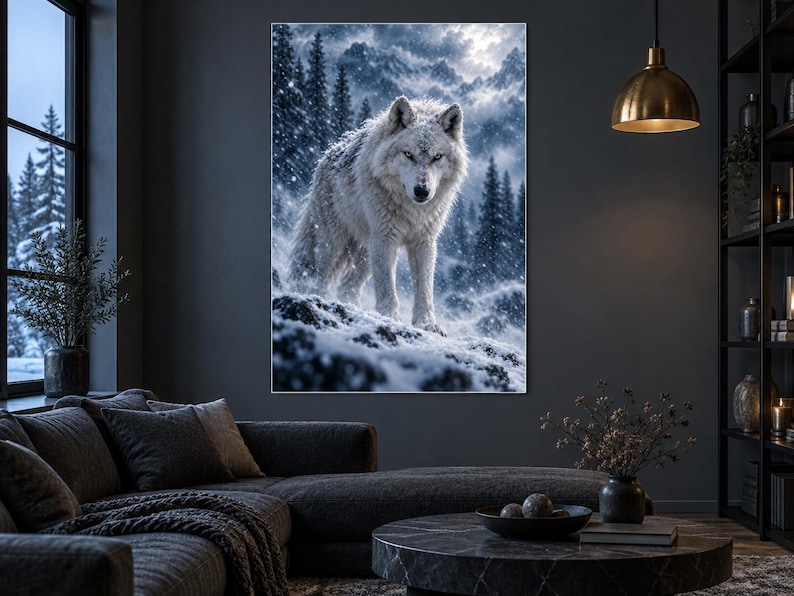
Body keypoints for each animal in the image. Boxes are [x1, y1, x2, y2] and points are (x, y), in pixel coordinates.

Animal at [288, 95, 468, 336]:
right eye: (408, 154)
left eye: (437, 157)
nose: (422, 191)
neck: (412, 211)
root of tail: (326, 156)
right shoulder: (385, 238)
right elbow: (386, 287)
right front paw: (390, 318)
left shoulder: (424, 242)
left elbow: (424, 289)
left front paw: (427, 324)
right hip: (334, 243)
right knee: (320, 277)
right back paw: (321, 301)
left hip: (365, 253)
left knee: (347, 286)